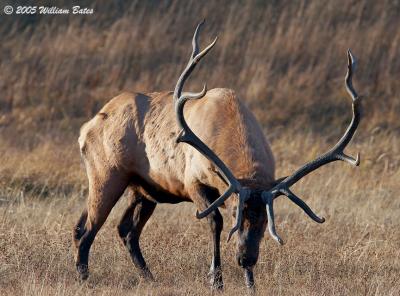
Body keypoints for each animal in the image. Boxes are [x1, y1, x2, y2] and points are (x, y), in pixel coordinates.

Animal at [72, 21, 362, 292]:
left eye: (266, 220)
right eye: (235, 212)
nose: (246, 258)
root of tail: (86, 127)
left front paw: (250, 284)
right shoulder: (193, 181)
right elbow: (214, 221)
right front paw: (216, 280)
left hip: (144, 190)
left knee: (124, 230)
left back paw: (149, 278)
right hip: (106, 174)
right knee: (87, 229)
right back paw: (84, 278)